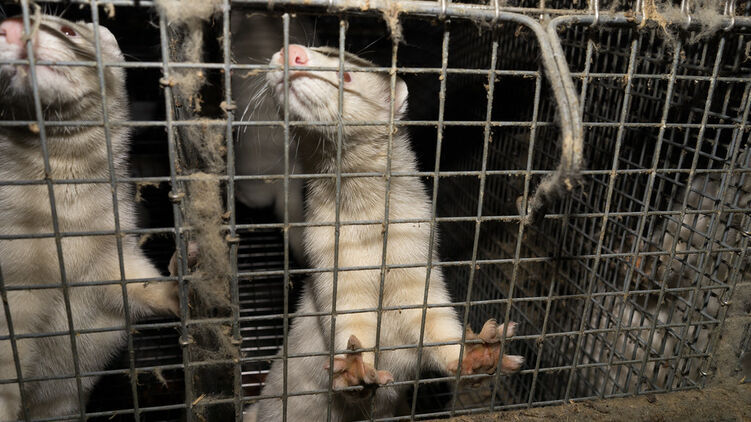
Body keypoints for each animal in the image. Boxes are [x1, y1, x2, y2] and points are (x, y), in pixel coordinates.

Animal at [244, 45, 523, 421]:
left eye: (346, 74)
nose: (293, 51)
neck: (372, 240)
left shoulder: (421, 264)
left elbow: (439, 325)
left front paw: (480, 355)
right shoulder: (331, 267)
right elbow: (349, 326)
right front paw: (354, 371)